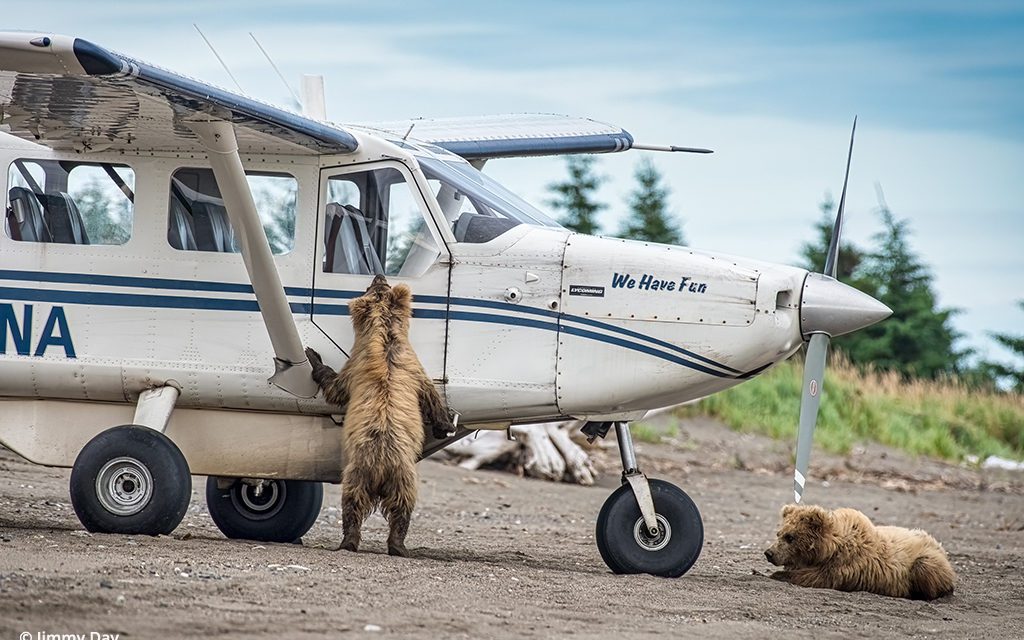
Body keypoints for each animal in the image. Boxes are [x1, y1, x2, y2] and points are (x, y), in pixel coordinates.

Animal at [305, 276, 454, 557]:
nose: (378, 275)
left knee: (359, 504)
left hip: (368, 473)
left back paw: (361, 543)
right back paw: (389, 545)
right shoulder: (400, 368)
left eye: (378, 286)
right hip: (392, 475)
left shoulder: (368, 367)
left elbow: (336, 388)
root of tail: (381, 465)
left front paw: (313, 355)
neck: (385, 337)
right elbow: (431, 396)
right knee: (390, 507)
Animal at [765, 503, 954, 598]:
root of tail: (940, 546)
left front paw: (777, 574)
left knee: (924, 567)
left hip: (926, 560)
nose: (769, 553)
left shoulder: (845, 565)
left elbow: (816, 577)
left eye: (790, 537)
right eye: (779, 533)